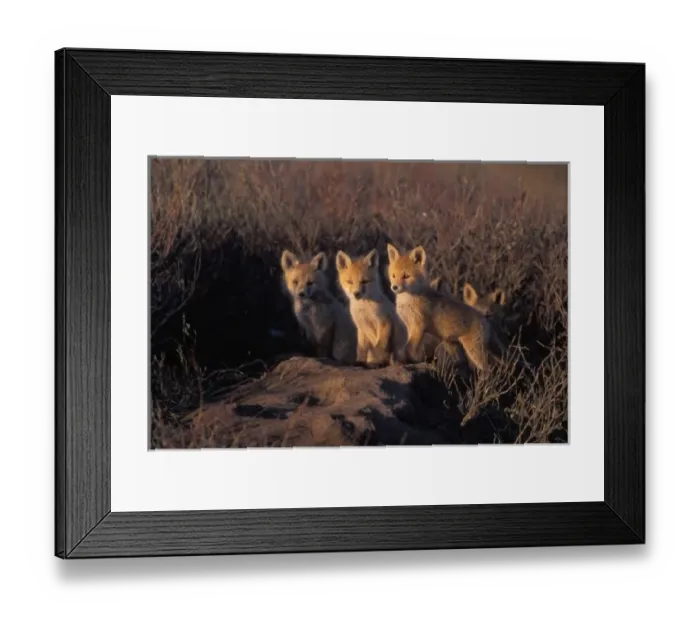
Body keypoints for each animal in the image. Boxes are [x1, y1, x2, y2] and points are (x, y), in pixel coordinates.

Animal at [386, 243, 498, 372]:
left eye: (406, 276)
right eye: (393, 276)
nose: (394, 287)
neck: (407, 301)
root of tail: (484, 318)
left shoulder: (418, 326)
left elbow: (409, 348)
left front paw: (408, 361)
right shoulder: (410, 326)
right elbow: (407, 347)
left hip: (474, 351)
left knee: (488, 369)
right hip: (453, 346)